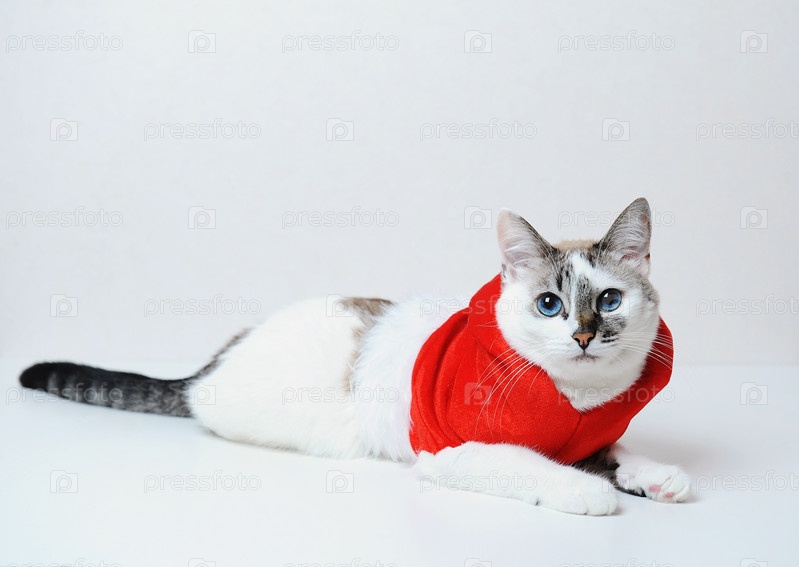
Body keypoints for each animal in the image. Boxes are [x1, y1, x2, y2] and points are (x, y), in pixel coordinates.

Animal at [19, 197, 690, 515]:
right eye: (550, 304)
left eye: (608, 300)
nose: (582, 336)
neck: (576, 402)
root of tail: (216, 360)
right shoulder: (452, 450)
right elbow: (533, 463)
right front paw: (586, 488)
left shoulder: (595, 431)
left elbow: (617, 449)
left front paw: (654, 474)